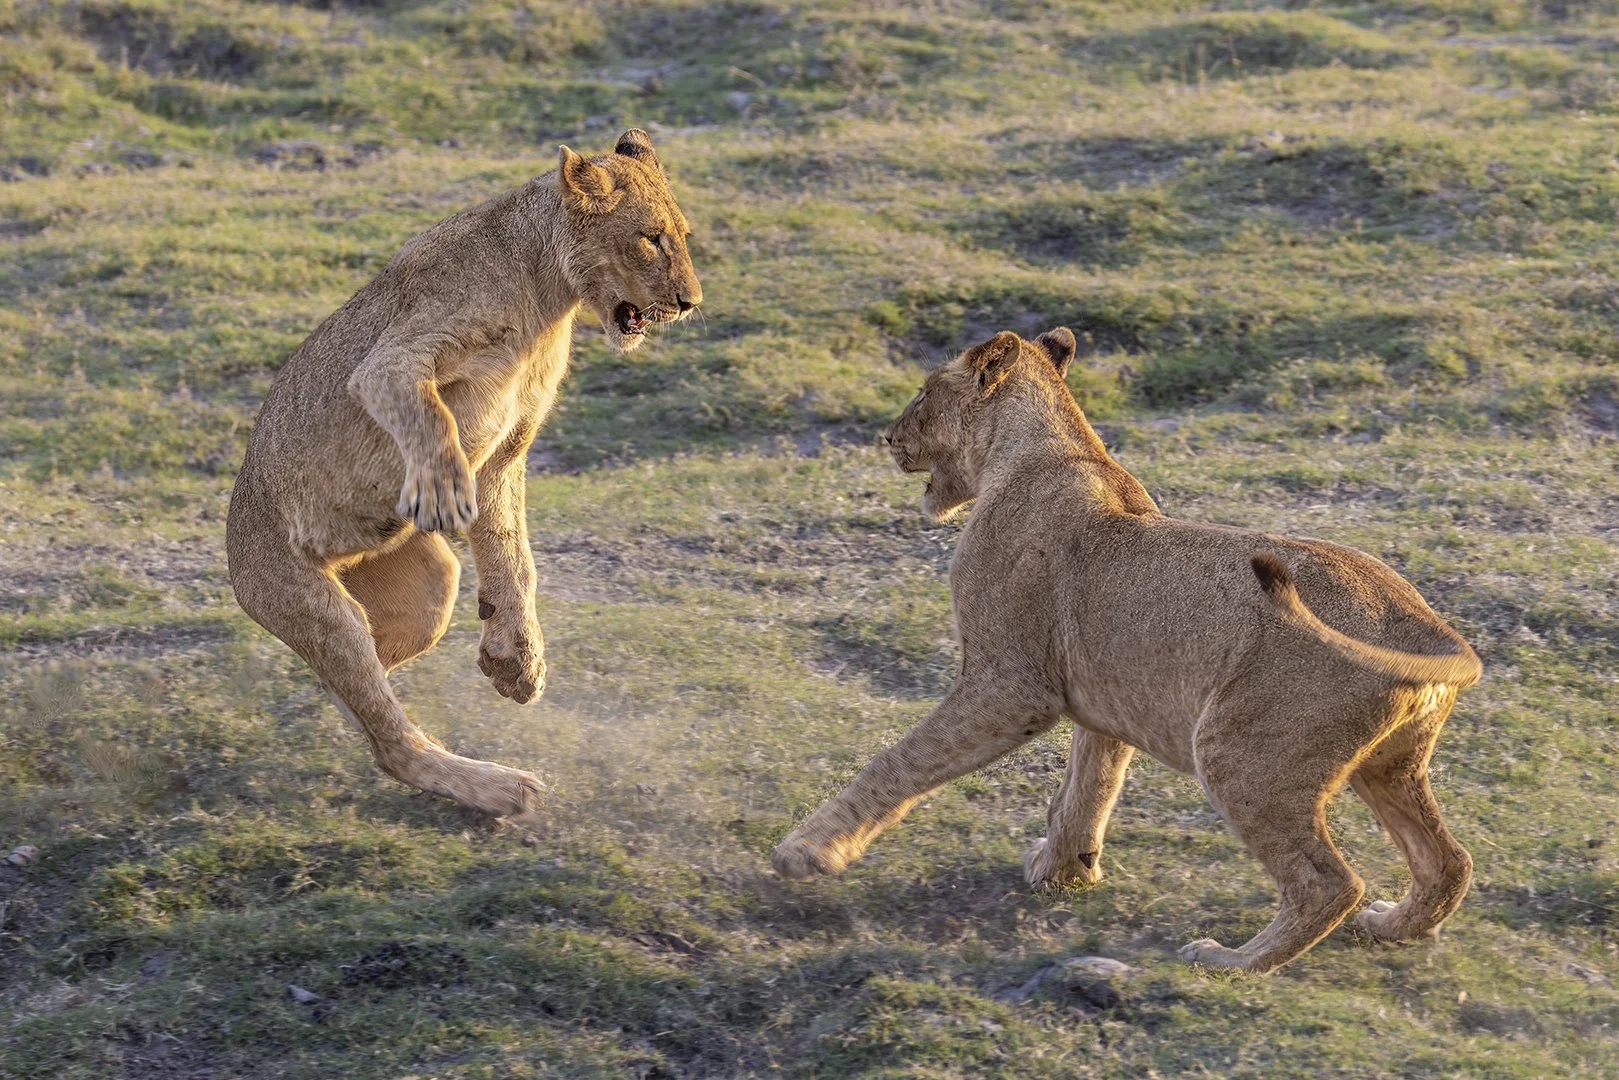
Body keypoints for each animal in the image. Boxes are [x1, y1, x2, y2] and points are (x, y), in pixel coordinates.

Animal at [226, 129, 701, 825]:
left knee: (366, 694)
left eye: (682, 236)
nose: (692, 303)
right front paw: (442, 492)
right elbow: (430, 419)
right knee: (387, 737)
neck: (546, 294)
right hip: (301, 594)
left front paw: (516, 661)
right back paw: (499, 787)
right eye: (652, 238)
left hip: (427, 588)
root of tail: (233, 552)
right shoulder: (396, 357)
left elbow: (513, 556)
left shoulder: (509, 449)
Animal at [772, 328, 1482, 974]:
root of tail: (1428, 625)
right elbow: (1089, 785)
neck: (1043, 451)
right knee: (1448, 860)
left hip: (1238, 753)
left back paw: (1229, 962)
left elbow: (901, 763)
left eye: (923, 391)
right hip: (1387, 765)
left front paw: (805, 853)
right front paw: (1062, 870)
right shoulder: (1109, 692)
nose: (888, 438)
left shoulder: (1009, 685)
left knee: (1329, 883)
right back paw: (1392, 926)